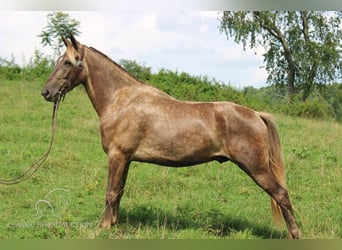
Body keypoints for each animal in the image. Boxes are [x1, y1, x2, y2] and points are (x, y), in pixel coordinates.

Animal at [41, 34, 300, 238]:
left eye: (67, 62)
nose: (46, 92)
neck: (121, 100)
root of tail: (256, 114)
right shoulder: (126, 159)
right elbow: (119, 192)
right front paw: (113, 223)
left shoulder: (117, 156)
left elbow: (110, 192)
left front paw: (102, 227)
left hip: (257, 168)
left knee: (282, 195)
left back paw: (294, 234)